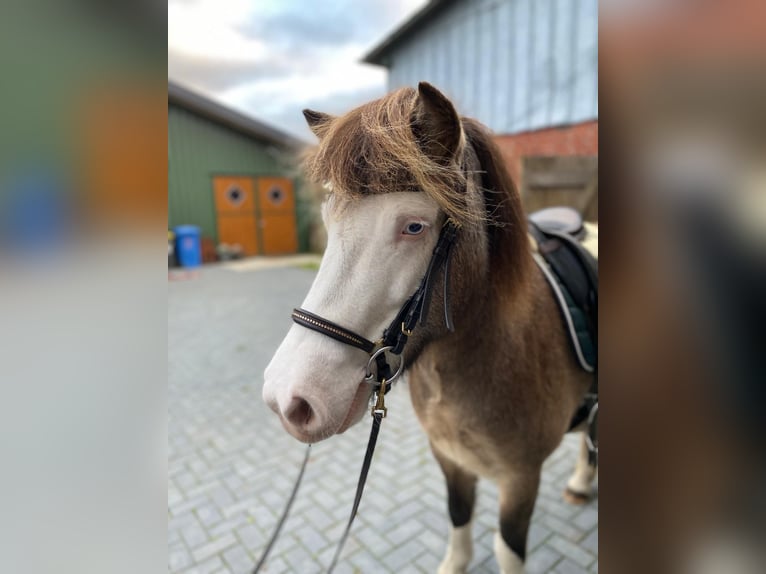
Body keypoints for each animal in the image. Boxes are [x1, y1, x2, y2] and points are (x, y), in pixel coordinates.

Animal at [262, 82, 597, 574]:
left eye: (414, 226)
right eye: (328, 220)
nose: (289, 398)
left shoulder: (521, 479)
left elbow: (506, 548)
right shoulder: (449, 458)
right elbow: (458, 516)